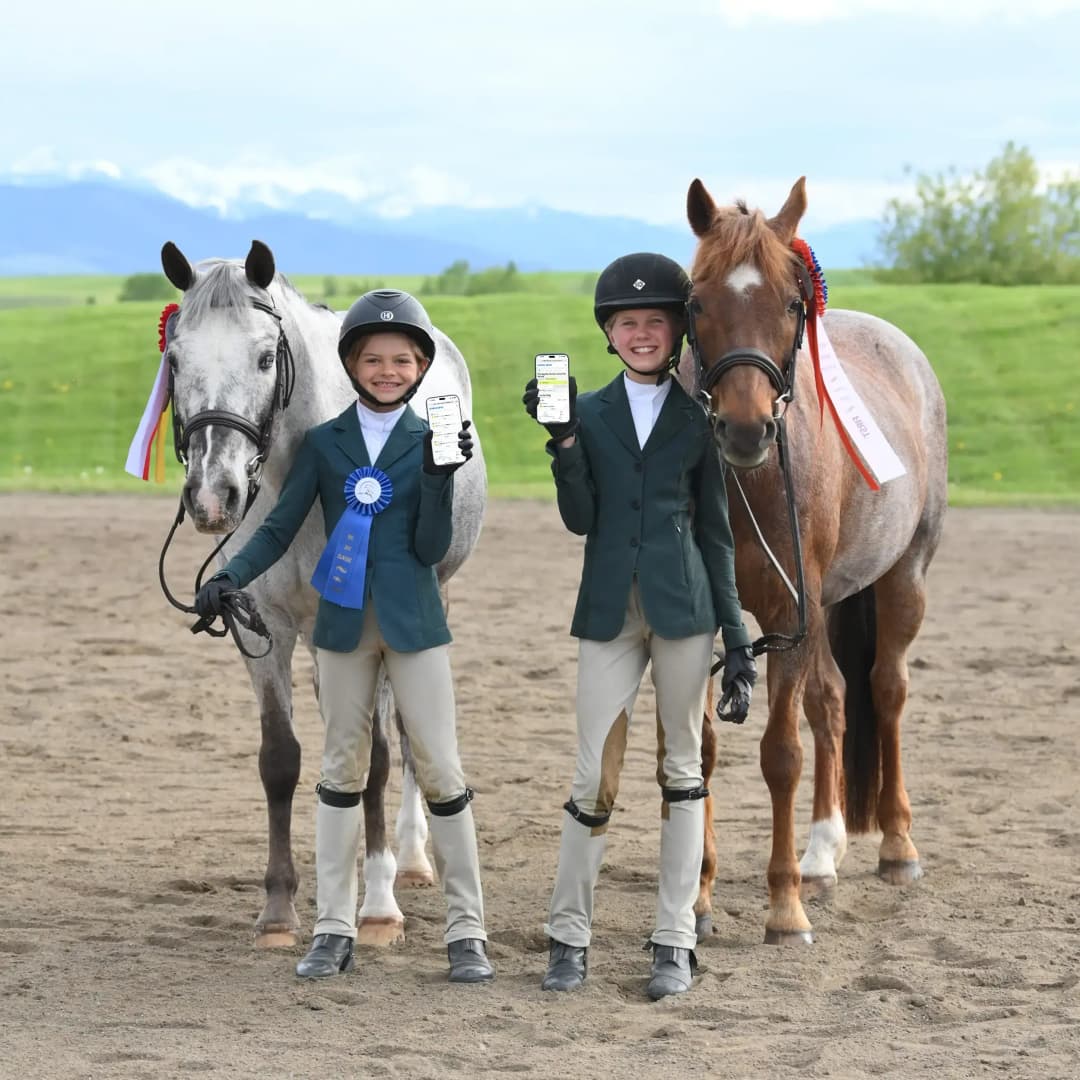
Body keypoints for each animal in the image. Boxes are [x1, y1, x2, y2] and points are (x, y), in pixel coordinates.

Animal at [680, 178, 947, 944]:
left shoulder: (787, 609)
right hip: (828, 605)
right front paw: (697, 896)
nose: (745, 429)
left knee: (885, 691)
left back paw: (896, 846)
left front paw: (783, 908)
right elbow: (702, 750)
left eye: (792, 303)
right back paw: (824, 851)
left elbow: (780, 755)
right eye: (696, 301)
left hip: (902, 579)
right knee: (831, 700)